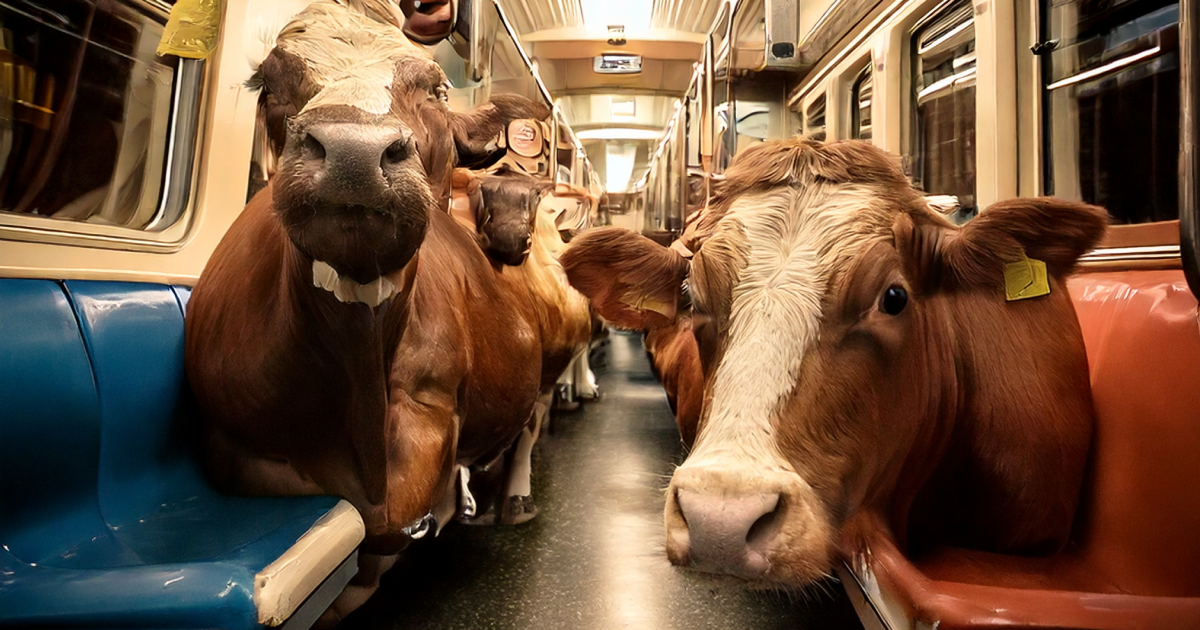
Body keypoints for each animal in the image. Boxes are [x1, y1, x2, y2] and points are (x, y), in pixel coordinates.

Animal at [185, 0, 554, 617]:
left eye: (436, 89)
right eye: (268, 83)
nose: (353, 152)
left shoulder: (429, 412)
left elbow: (388, 528)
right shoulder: (236, 449)